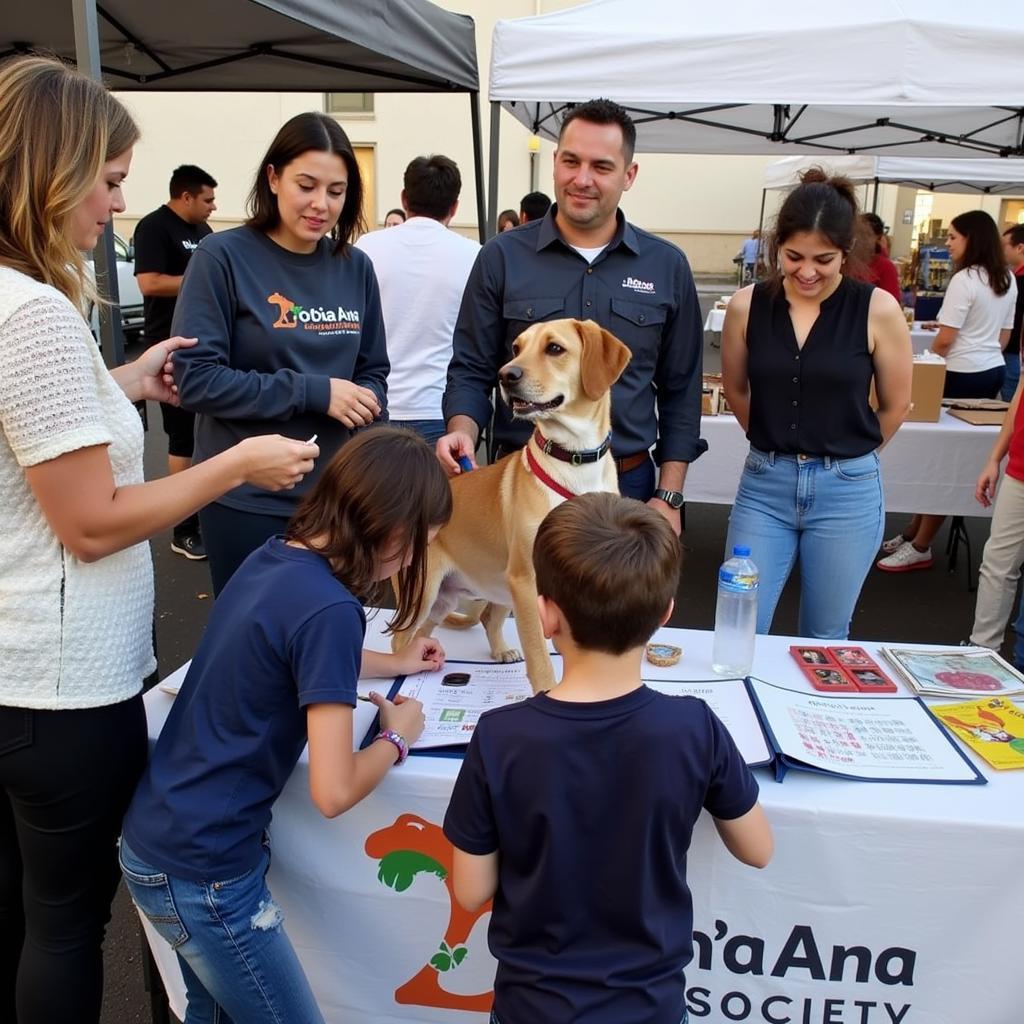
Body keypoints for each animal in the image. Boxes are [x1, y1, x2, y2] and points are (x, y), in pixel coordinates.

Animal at [391, 315, 630, 692]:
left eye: (554, 348)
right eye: (516, 347)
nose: (506, 375)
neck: (574, 461)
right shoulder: (526, 579)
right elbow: (538, 651)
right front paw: (546, 691)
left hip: (469, 593)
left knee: (476, 620)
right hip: (427, 592)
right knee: (402, 638)